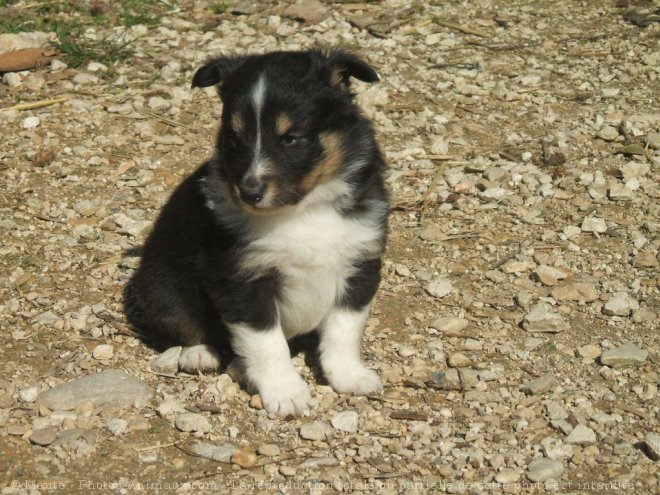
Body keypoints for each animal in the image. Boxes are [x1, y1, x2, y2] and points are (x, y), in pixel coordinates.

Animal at [137, 50, 390, 416]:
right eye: (234, 138)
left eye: (289, 138)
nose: (249, 192)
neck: (302, 211)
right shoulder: (242, 282)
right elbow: (267, 342)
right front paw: (286, 393)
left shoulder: (360, 262)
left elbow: (345, 328)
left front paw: (350, 376)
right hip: (161, 289)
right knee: (186, 323)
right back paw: (199, 354)